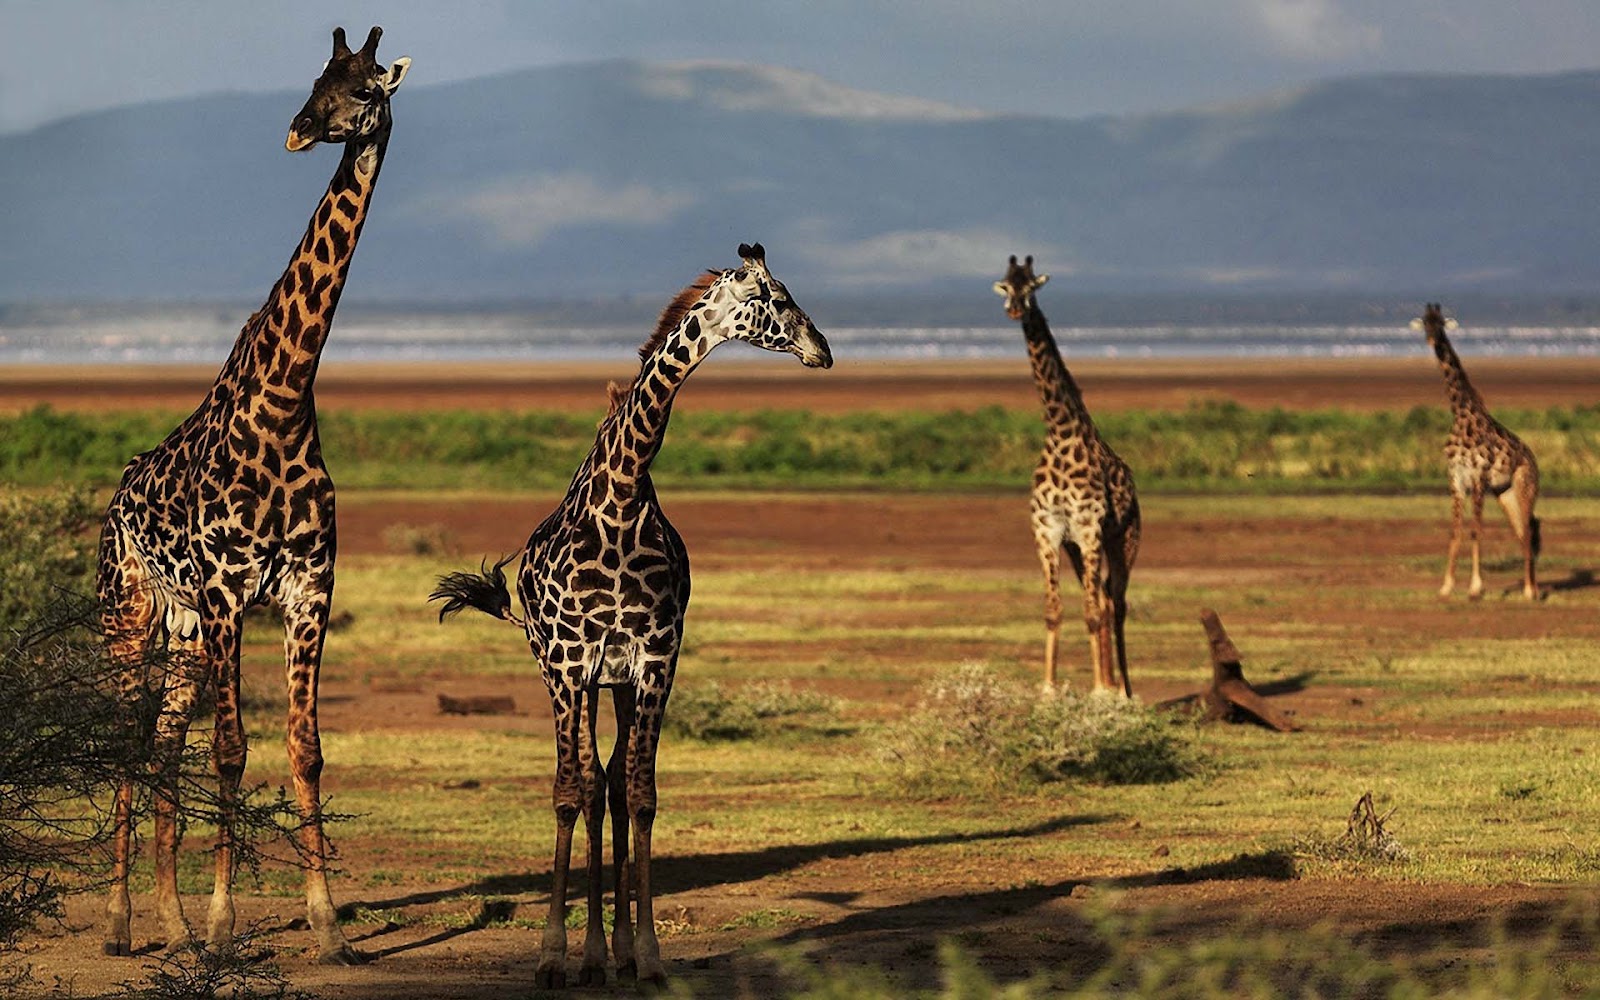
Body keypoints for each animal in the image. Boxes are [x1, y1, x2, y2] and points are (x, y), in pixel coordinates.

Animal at [95, 27, 409, 964]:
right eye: (315, 79)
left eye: (364, 89)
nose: (300, 130)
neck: (285, 403)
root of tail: (113, 499)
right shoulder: (231, 593)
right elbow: (232, 751)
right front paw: (227, 923)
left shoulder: (308, 589)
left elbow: (305, 750)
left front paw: (327, 923)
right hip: (131, 615)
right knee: (127, 744)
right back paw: (122, 925)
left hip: (184, 630)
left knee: (163, 746)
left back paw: (167, 922)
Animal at [431, 244, 832, 989]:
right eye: (775, 298)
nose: (822, 349)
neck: (620, 496)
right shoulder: (570, 662)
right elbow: (569, 791)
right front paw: (552, 955)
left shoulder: (654, 659)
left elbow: (640, 794)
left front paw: (645, 953)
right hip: (569, 674)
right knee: (589, 787)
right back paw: (587, 955)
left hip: (614, 682)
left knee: (613, 785)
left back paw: (610, 952)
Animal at [992, 255, 1140, 694]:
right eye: (1006, 285)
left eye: (1031, 287)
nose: (1015, 310)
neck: (1059, 434)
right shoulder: (1049, 531)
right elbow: (1054, 610)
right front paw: (1048, 690)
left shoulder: (1090, 529)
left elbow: (1092, 612)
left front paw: (1102, 692)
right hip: (1079, 548)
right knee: (1104, 599)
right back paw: (1111, 683)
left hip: (1123, 540)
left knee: (1115, 603)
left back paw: (1124, 690)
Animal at [1412, 303, 1541, 600]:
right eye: (1425, 323)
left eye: (1441, 324)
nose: (1433, 342)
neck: (1461, 416)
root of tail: (1534, 460)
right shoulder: (1456, 479)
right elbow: (1455, 532)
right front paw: (1446, 586)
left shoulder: (1479, 477)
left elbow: (1475, 531)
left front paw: (1475, 587)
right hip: (1504, 493)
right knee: (1521, 532)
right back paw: (1530, 587)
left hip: (1525, 487)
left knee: (1529, 531)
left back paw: (1532, 591)